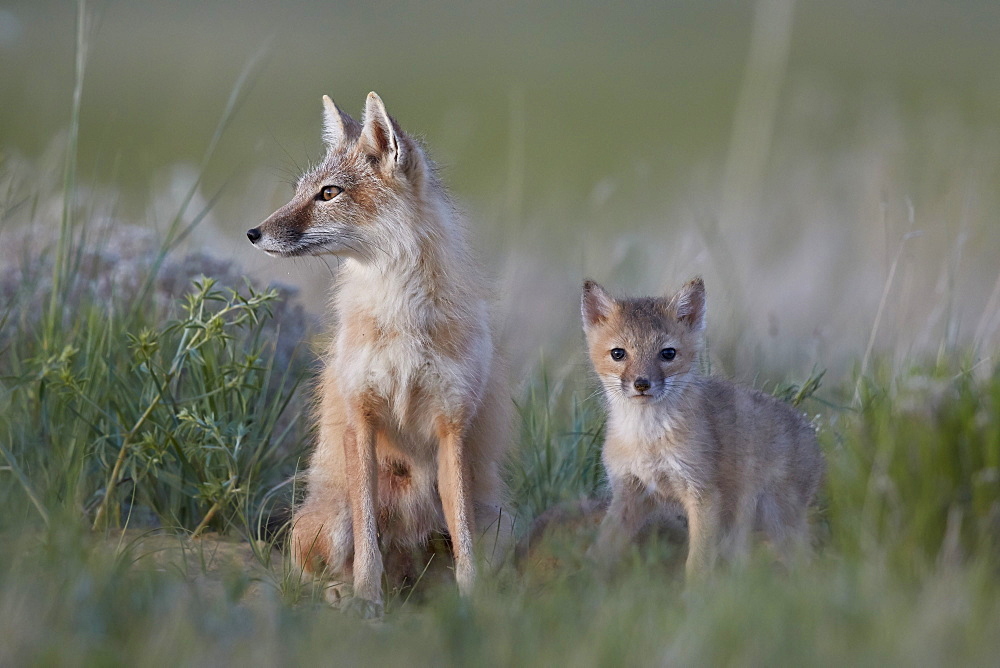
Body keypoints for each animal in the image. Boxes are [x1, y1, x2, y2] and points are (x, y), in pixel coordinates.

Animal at [249, 92, 512, 616]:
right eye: (300, 191)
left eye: (328, 194)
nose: (254, 233)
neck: (402, 317)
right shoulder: (361, 418)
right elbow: (366, 539)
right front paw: (366, 602)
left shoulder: (452, 425)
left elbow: (464, 542)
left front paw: (472, 604)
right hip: (331, 520)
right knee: (303, 576)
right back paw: (340, 594)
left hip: (497, 522)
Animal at [584, 280, 824, 576]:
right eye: (618, 353)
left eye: (668, 353)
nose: (642, 383)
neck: (648, 437)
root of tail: (809, 426)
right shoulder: (629, 493)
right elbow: (601, 550)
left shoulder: (703, 494)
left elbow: (697, 563)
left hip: (778, 521)